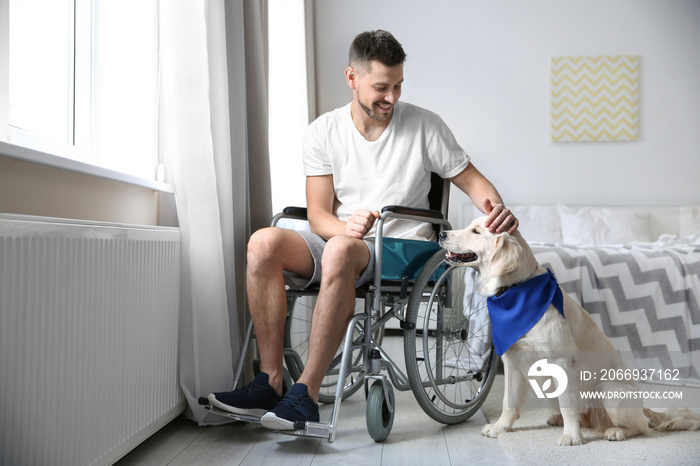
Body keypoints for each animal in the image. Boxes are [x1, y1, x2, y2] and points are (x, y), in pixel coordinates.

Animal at [440, 217, 696, 446]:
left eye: (476, 231)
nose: (442, 233)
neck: (515, 290)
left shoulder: (561, 363)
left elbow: (568, 406)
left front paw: (572, 437)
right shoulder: (512, 360)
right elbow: (509, 402)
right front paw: (500, 427)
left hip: (609, 392)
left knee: (640, 426)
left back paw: (616, 431)